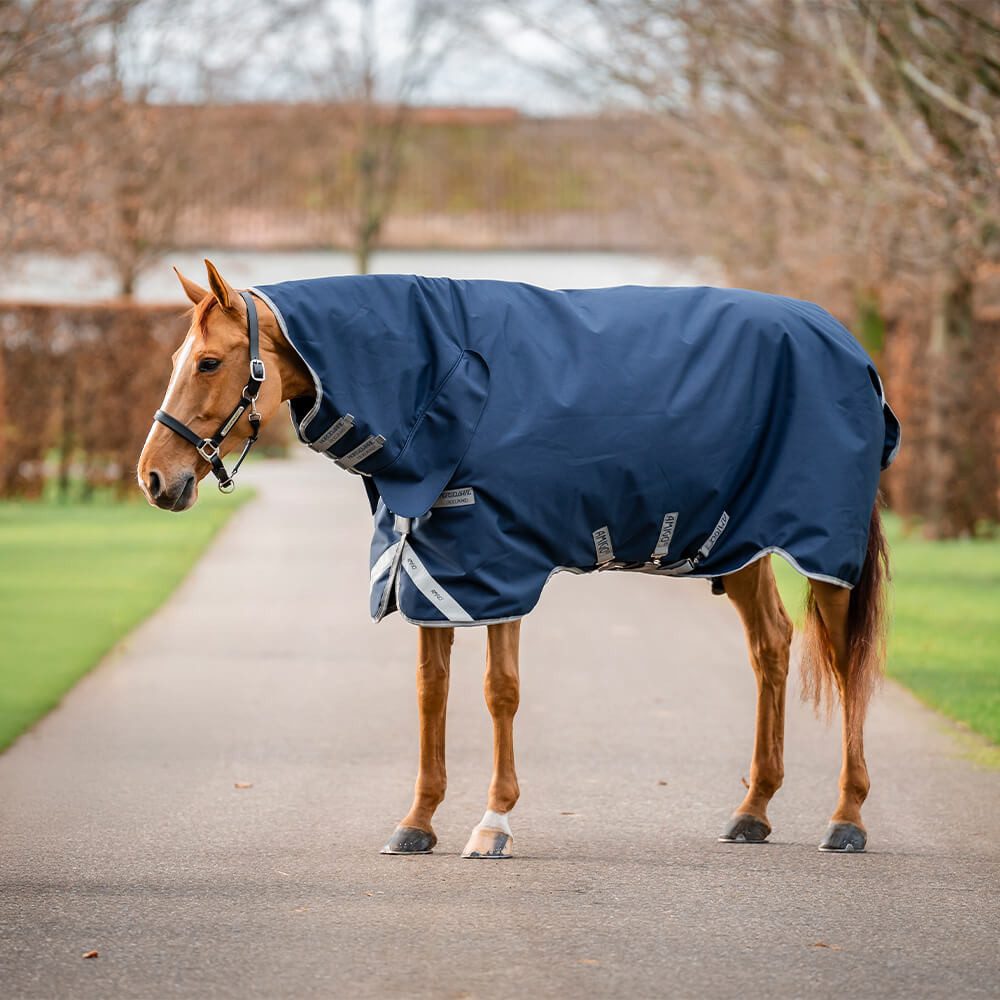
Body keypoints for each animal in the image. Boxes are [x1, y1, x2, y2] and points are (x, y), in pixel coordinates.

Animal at [137, 260, 895, 858]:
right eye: (173, 361)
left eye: (209, 362)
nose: (153, 479)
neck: (439, 377)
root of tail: (850, 348)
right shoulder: (431, 565)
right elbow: (431, 692)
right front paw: (418, 822)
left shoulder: (499, 565)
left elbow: (498, 691)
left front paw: (493, 823)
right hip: (739, 546)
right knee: (772, 645)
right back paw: (753, 811)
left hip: (821, 552)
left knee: (847, 665)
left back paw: (847, 818)